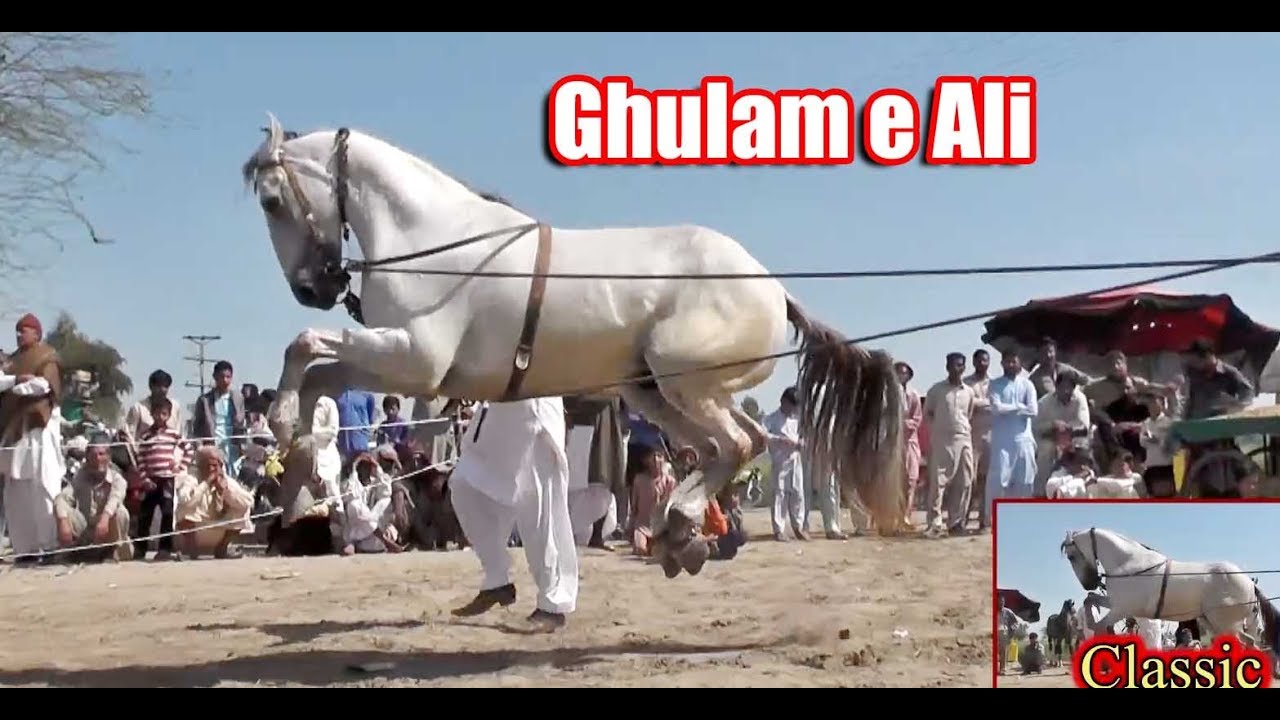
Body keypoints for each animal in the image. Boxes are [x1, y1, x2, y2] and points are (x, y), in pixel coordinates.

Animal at [243, 114, 905, 578]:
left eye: (272, 200)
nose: (312, 288)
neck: (432, 242)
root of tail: (773, 289)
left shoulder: (414, 360)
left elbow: (304, 345)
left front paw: (281, 424)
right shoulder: (402, 365)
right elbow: (321, 373)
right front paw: (296, 459)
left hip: (681, 377)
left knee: (742, 443)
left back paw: (680, 526)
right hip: (654, 392)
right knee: (726, 447)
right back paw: (678, 535)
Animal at [1060, 527, 1262, 647]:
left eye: (1071, 556)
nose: (1089, 583)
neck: (1128, 564)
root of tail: (1249, 582)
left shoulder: (1120, 610)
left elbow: (1099, 627)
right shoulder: (1117, 604)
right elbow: (1090, 599)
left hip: (1226, 624)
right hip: (1215, 623)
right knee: (1249, 641)